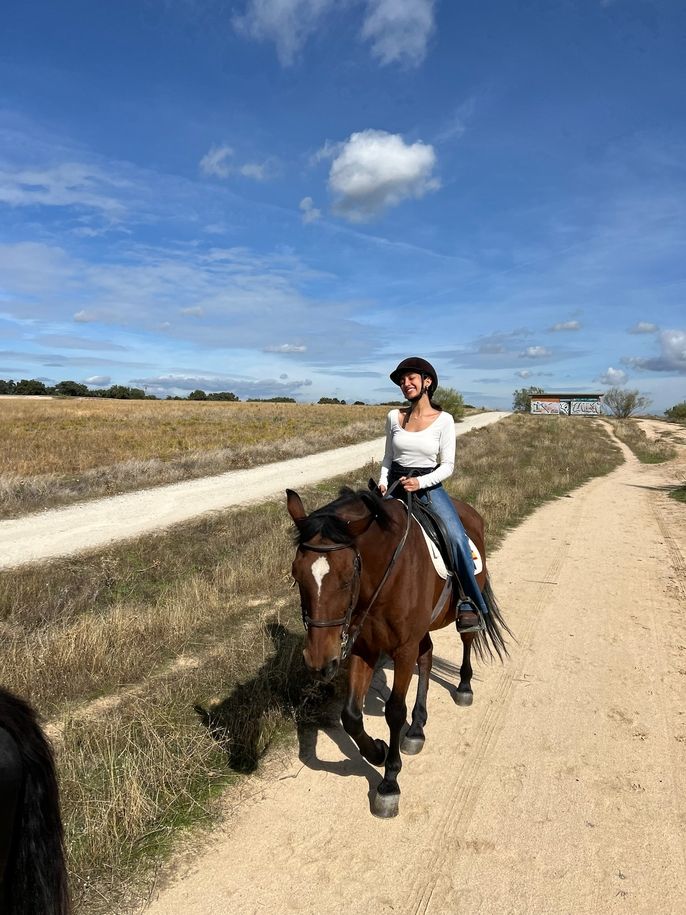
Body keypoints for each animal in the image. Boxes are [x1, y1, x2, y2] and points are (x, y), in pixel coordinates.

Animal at [284, 486, 510, 816]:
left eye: (348, 576)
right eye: (296, 574)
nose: (318, 662)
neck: (385, 576)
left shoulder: (403, 650)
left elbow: (393, 711)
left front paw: (389, 782)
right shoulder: (364, 647)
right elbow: (351, 715)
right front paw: (376, 751)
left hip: (464, 607)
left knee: (466, 640)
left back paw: (464, 687)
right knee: (426, 657)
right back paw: (416, 728)